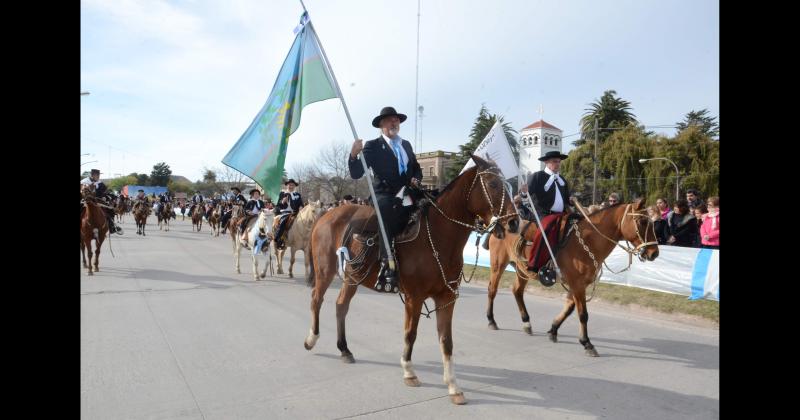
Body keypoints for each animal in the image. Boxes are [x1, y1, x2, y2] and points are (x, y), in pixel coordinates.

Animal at [302, 156, 520, 406]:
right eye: (493, 184)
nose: (515, 223)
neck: (437, 237)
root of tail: (326, 215)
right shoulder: (414, 299)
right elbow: (410, 333)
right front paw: (409, 371)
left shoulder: (446, 299)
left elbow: (446, 340)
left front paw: (453, 386)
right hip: (325, 271)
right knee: (316, 300)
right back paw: (311, 339)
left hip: (352, 278)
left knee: (341, 306)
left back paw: (344, 349)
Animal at [484, 199, 660, 356]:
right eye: (642, 221)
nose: (654, 253)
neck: (587, 241)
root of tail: (500, 223)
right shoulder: (577, 284)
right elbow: (583, 314)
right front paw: (587, 343)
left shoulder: (579, 284)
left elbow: (569, 308)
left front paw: (553, 330)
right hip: (498, 264)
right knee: (492, 289)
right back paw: (491, 320)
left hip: (522, 270)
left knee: (517, 291)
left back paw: (526, 322)